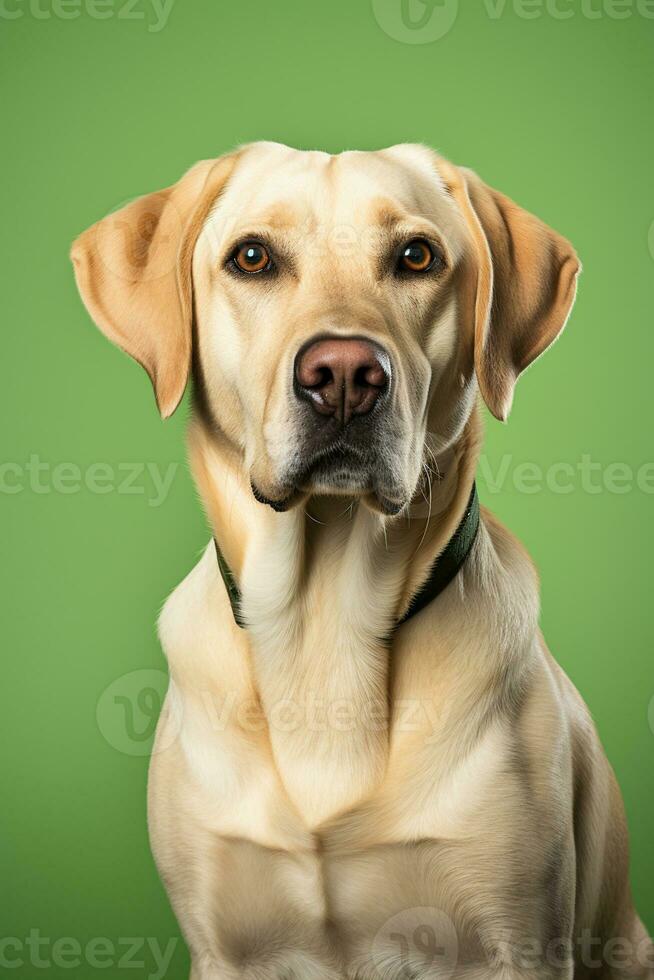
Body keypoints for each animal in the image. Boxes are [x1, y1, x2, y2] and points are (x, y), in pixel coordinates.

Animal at [73, 144, 654, 980]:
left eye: (417, 257)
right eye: (252, 257)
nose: (344, 374)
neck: (323, 626)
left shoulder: (522, 943)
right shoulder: (222, 948)